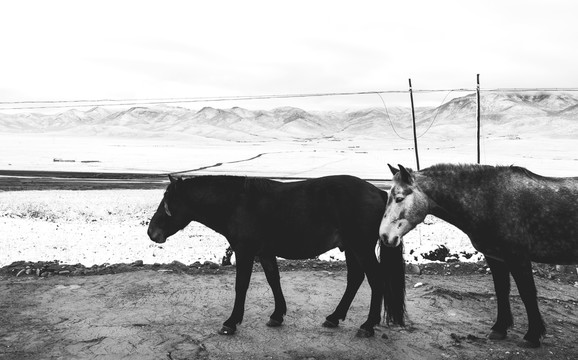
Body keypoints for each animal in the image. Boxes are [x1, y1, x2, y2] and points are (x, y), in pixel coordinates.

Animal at [146, 175, 402, 338]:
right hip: (351, 248)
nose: (151, 232)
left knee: (375, 280)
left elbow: (241, 285)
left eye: (167, 204)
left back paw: (367, 325)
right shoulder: (265, 253)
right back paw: (334, 317)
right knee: (355, 279)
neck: (238, 203)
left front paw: (231, 323)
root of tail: (378, 192)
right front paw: (278, 315)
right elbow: (273, 281)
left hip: (361, 247)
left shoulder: (245, 251)